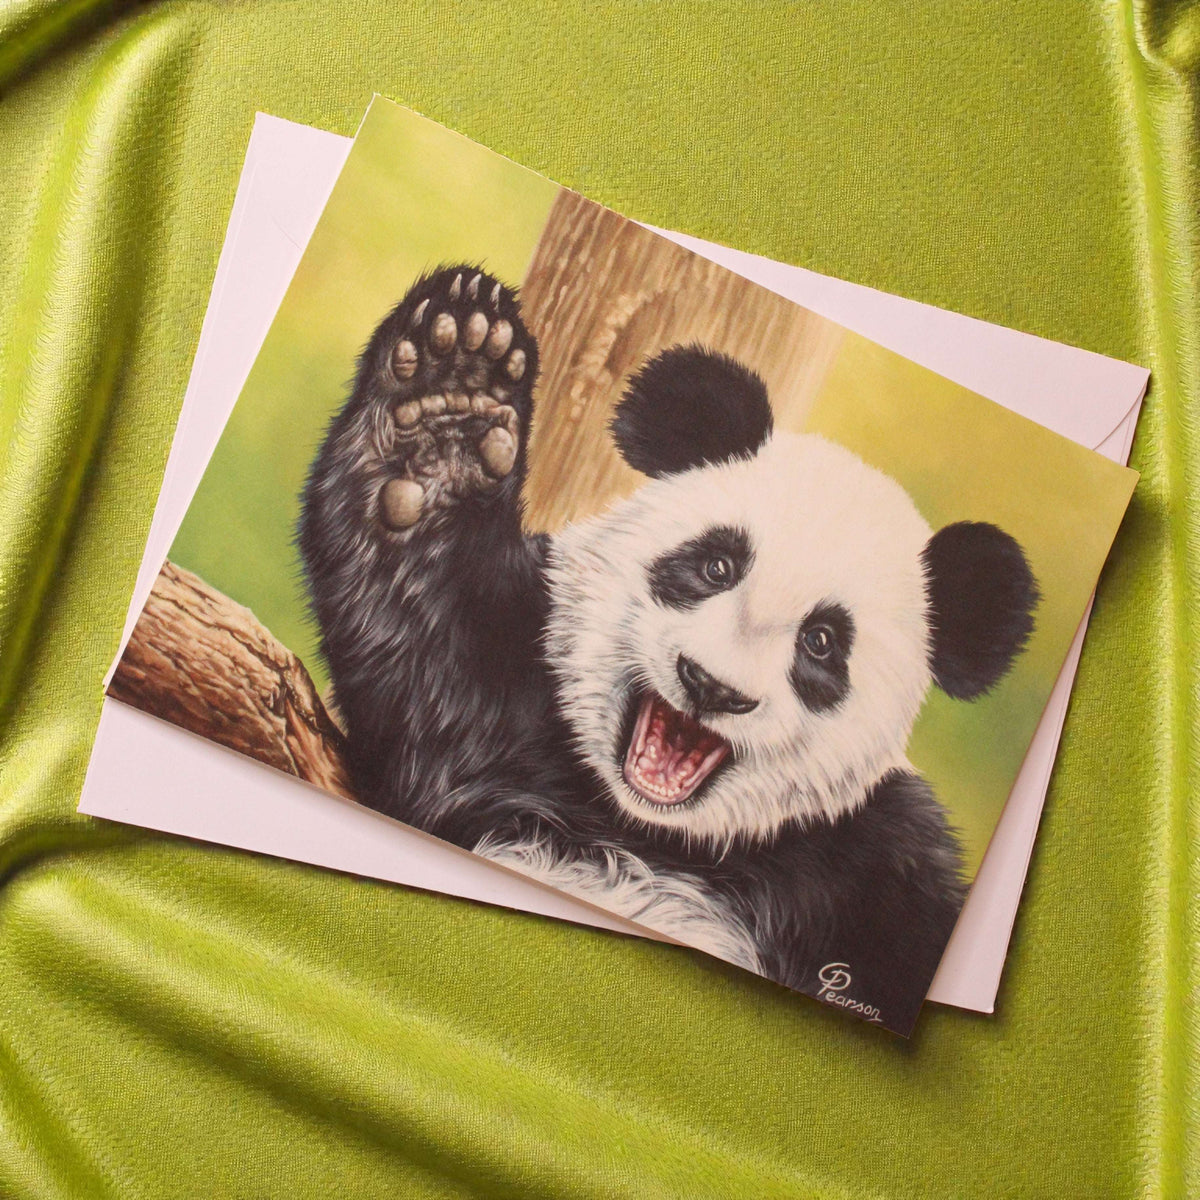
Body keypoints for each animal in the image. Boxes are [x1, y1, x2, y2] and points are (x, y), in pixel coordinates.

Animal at [298, 264, 1039, 1031]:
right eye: (716, 566)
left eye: (822, 643)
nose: (712, 687)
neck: (644, 829)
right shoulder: (502, 694)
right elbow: (419, 618)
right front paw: (450, 401)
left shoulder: (874, 869)